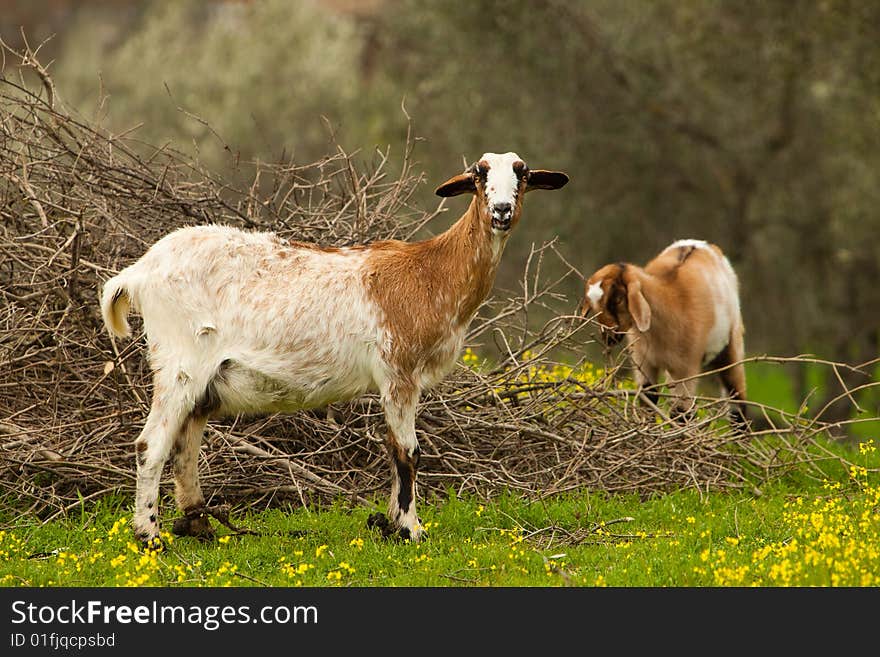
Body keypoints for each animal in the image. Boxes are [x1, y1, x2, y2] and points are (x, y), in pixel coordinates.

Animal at [101, 152, 572, 544]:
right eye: (478, 174)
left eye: (523, 173)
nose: (501, 211)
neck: (431, 272)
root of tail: (137, 273)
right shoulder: (399, 370)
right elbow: (408, 451)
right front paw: (411, 529)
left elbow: (391, 446)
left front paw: (389, 523)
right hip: (180, 360)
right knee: (151, 445)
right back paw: (150, 536)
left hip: (205, 380)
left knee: (186, 443)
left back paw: (198, 526)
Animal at [584, 238, 748, 428]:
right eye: (594, 306)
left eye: (617, 299)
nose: (608, 337)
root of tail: (700, 243)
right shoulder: (643, 362)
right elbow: (648, 403)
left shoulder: (686, 368)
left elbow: (682, 413)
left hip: (731, 347)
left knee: (737, 404)